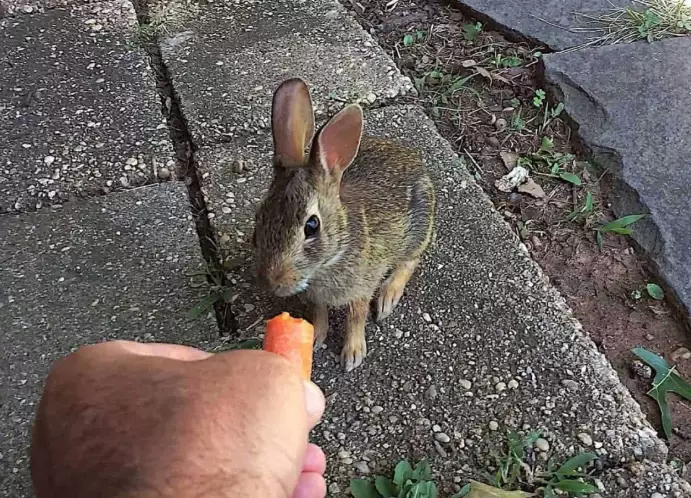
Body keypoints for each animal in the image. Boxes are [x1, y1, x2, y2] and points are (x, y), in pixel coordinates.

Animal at [253, 78, 435, 371]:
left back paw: (387, 298)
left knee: (410, 260)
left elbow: (356, 317)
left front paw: (352, 355)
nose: (275, 282)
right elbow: (319, 313)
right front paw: (316, 337)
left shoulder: (362, 286)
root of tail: (416, 162)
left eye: (312, 226)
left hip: (418, 228)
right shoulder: (316, 297)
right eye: (259, 217)